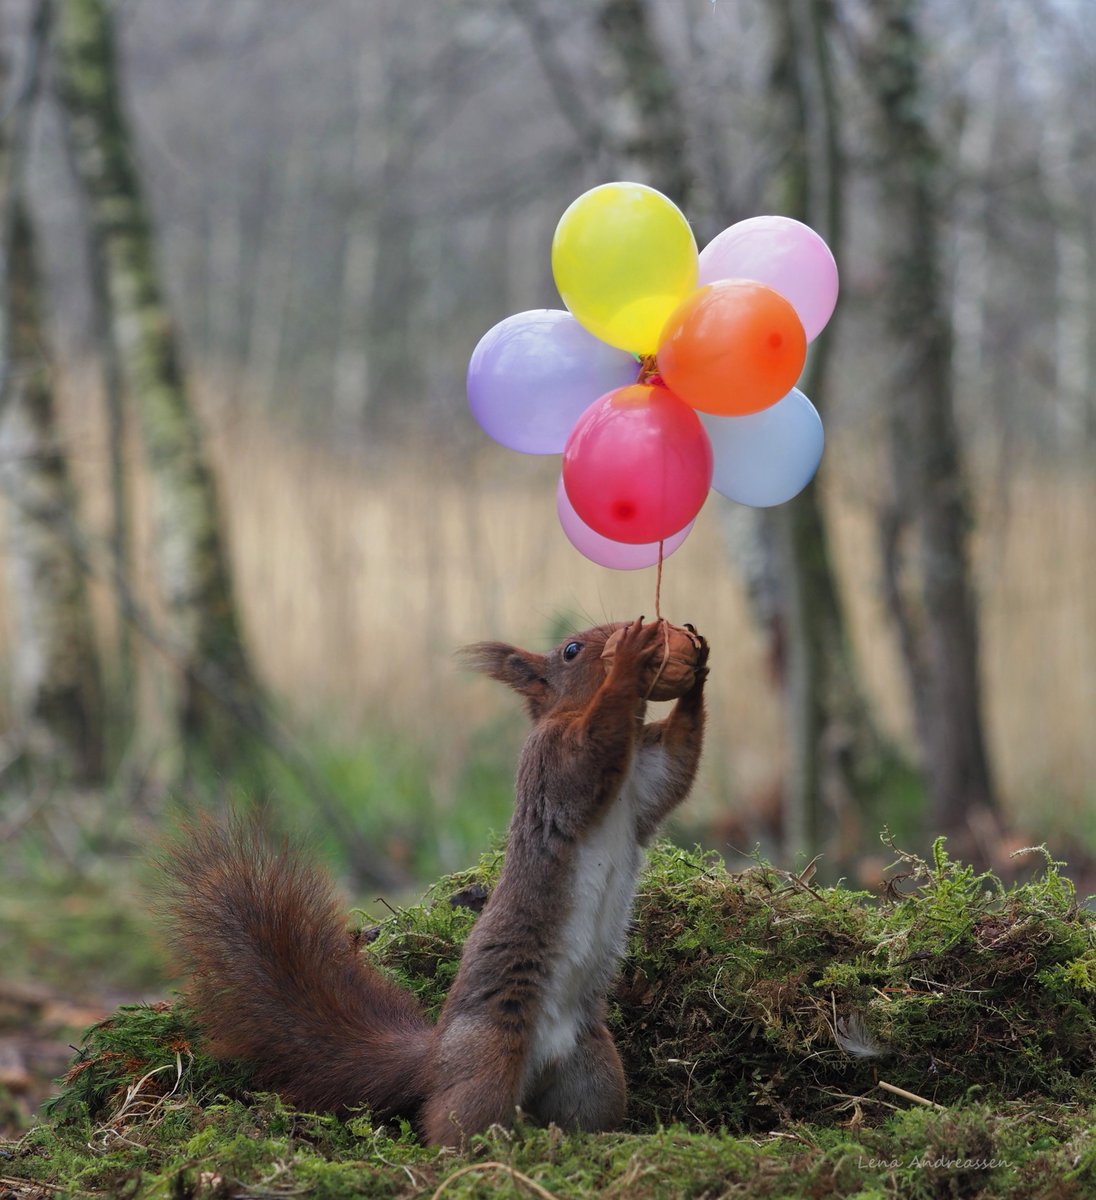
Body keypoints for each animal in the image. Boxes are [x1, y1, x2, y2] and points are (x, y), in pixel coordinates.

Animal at [162, 619, 710, 1142]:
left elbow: (677, 765)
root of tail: (435, 1058)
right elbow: (590, 754)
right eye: (572, 651)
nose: (623, 637)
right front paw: (631, 662)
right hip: (488, 1054)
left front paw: (700, 665)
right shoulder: (553, 759)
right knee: (453, 1122)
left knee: (583, 1111)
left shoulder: (644, 784)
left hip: (593, 1069)